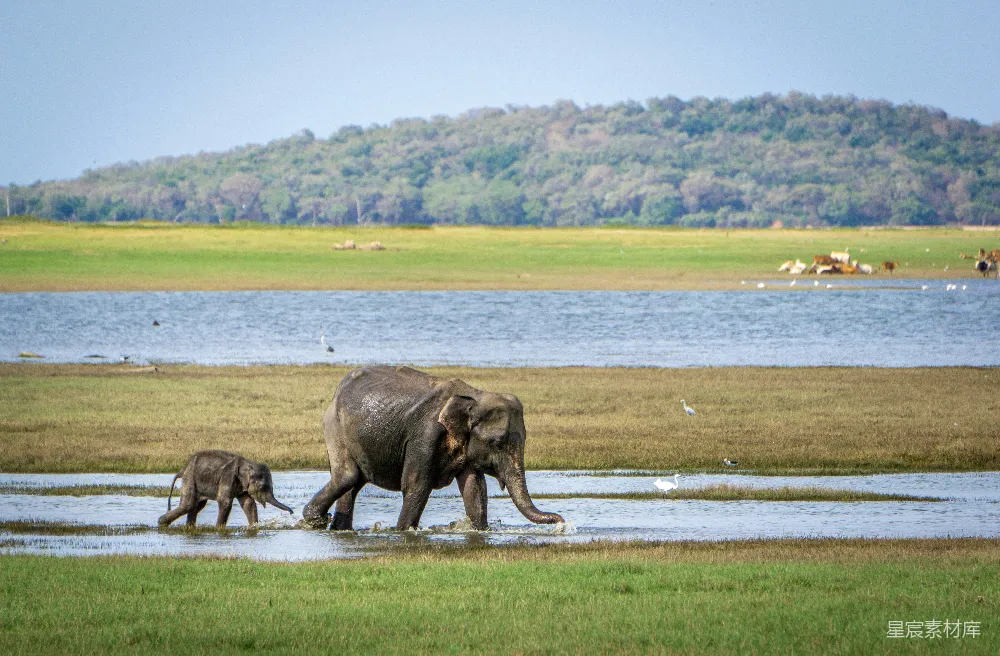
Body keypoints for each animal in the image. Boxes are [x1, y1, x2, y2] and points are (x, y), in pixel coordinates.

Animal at [158, 450, 294, 528]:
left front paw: (253, 527)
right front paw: (218, 529)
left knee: (197, 506)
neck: (246, 463)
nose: (292, 512)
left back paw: (188, 527)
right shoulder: (228, 477)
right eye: (262, 487)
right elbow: (225, 501)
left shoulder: (241, 484)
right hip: (190, 478)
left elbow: (248, 503)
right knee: (189, 505)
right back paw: (161, 523)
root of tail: (182, 469)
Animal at [302, 366, 564, 531]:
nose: (561, 521)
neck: (473, 397)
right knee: (347, 476)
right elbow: (416, 484)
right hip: (334, 426)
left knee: (353, 483)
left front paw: (481, 531)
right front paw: (402, 532)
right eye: (497, 443)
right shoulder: (425, 435)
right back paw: (315, 520)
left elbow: (474, 489)